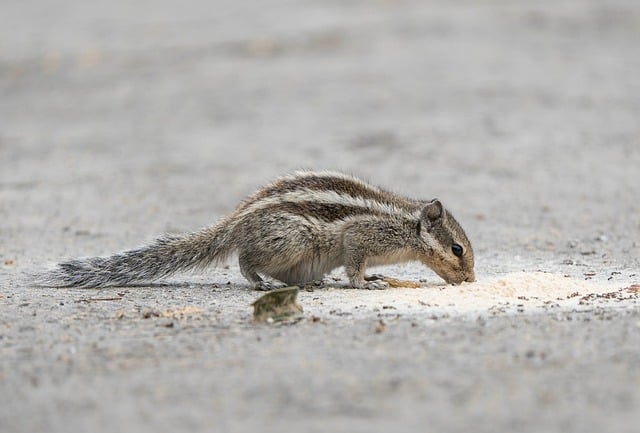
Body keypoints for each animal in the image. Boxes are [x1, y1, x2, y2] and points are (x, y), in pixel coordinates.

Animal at [37, 171, 475, 290]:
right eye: (457, 250)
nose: (470, 279)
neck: (407, 224)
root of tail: (234, 223)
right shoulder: (362, 235)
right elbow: (354, 264)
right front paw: (367, 283)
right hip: (292, 239)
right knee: (244, 260)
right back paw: (260, 282)